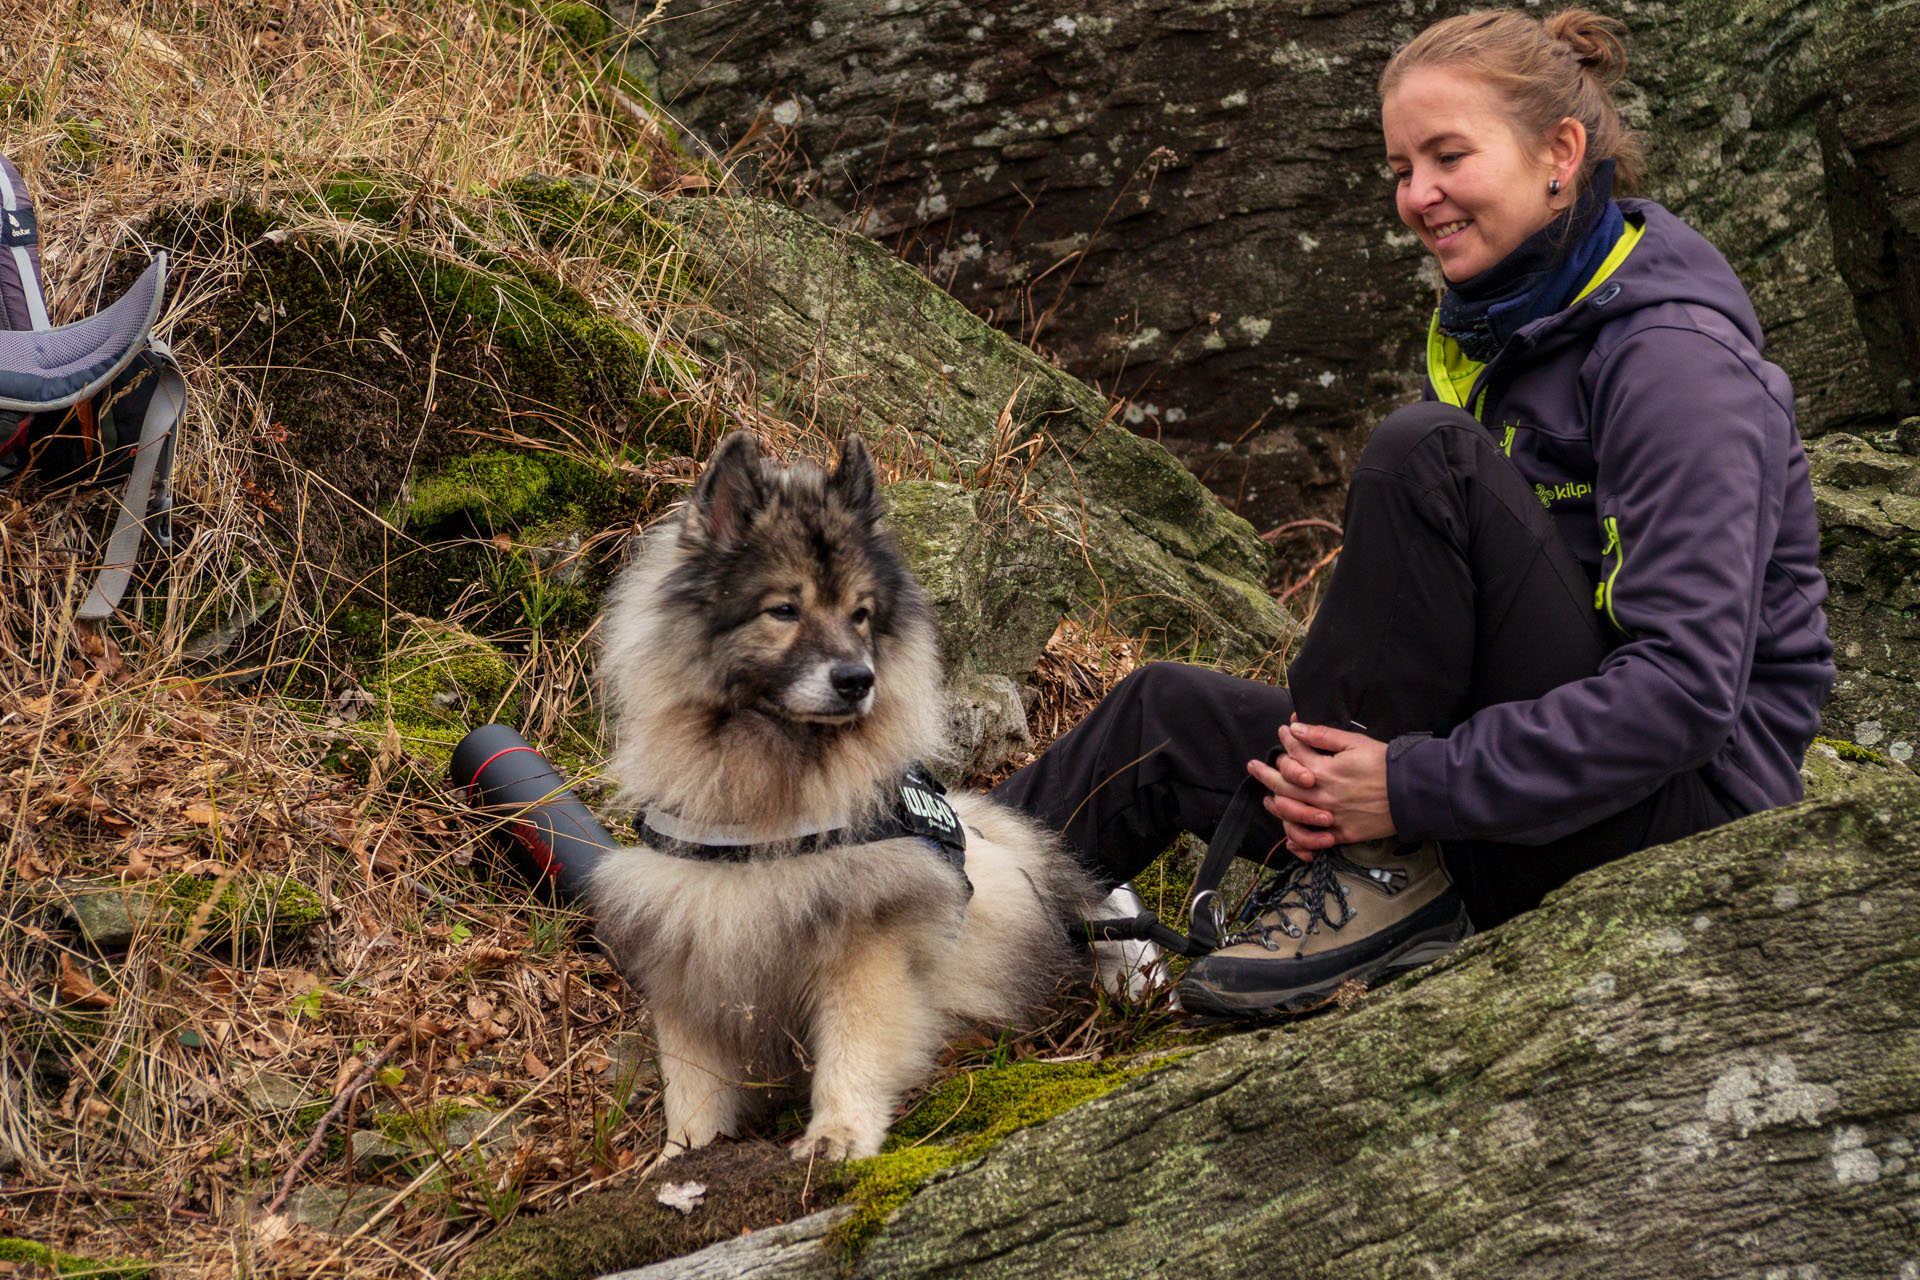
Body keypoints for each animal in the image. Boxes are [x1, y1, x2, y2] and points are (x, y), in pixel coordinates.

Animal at [591, 433, 1098, 1159]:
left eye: (860, 615)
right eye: (784, 610)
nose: (858, 679)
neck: (765, 805)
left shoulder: (863, 940)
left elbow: (852, 1049)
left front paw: (837, 1136)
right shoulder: (686, 947)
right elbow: (692, 1085)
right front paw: (681, 1155)